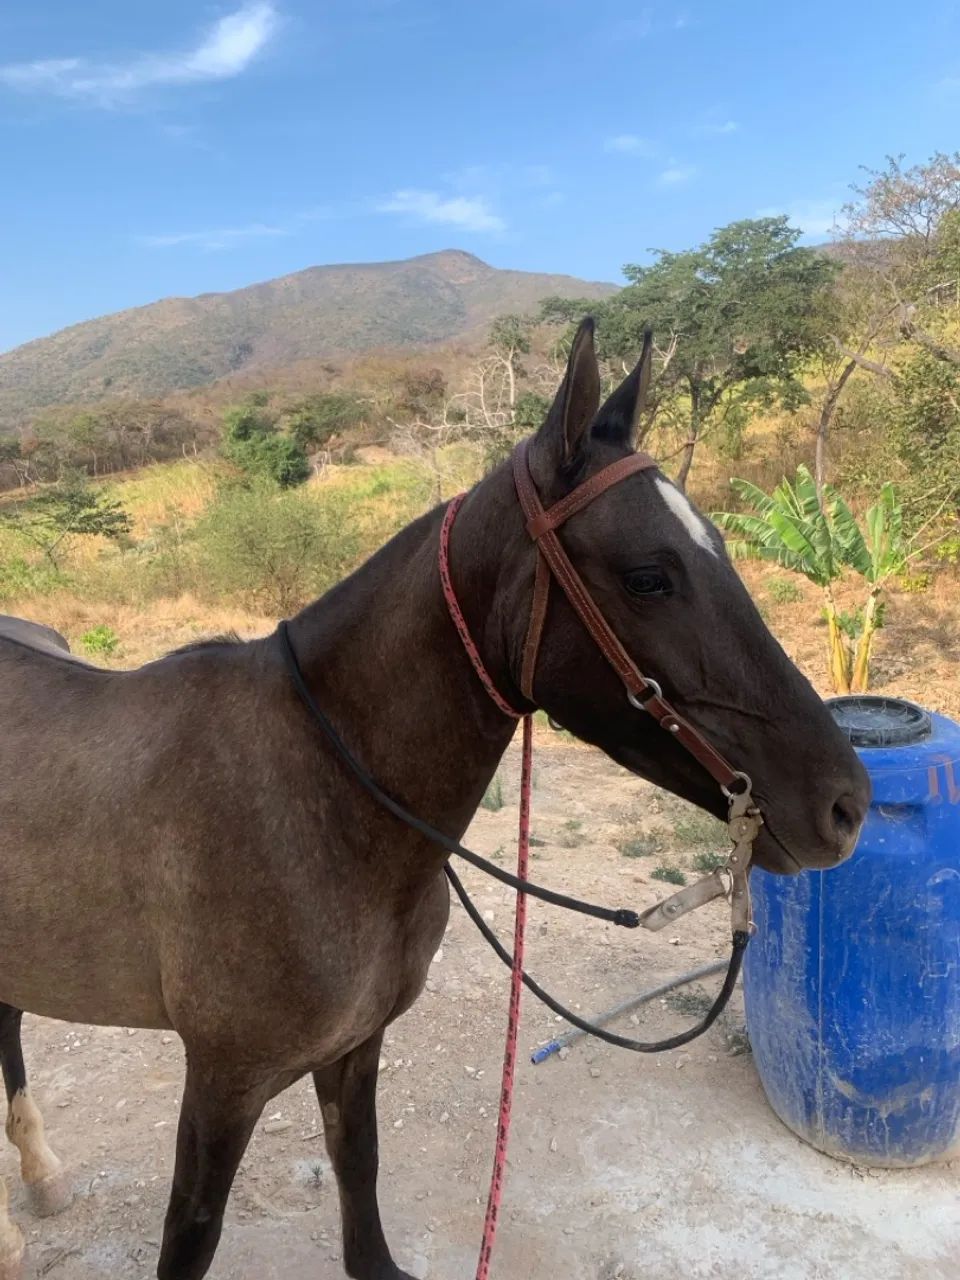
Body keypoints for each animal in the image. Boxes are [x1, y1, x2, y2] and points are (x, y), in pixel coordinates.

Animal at [0, 320, 869, 1280]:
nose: (847, 804)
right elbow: (192, 1230)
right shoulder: (225, 1078)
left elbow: (359, 1166)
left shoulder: (356, 1048)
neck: (325, 800)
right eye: (650, 576)